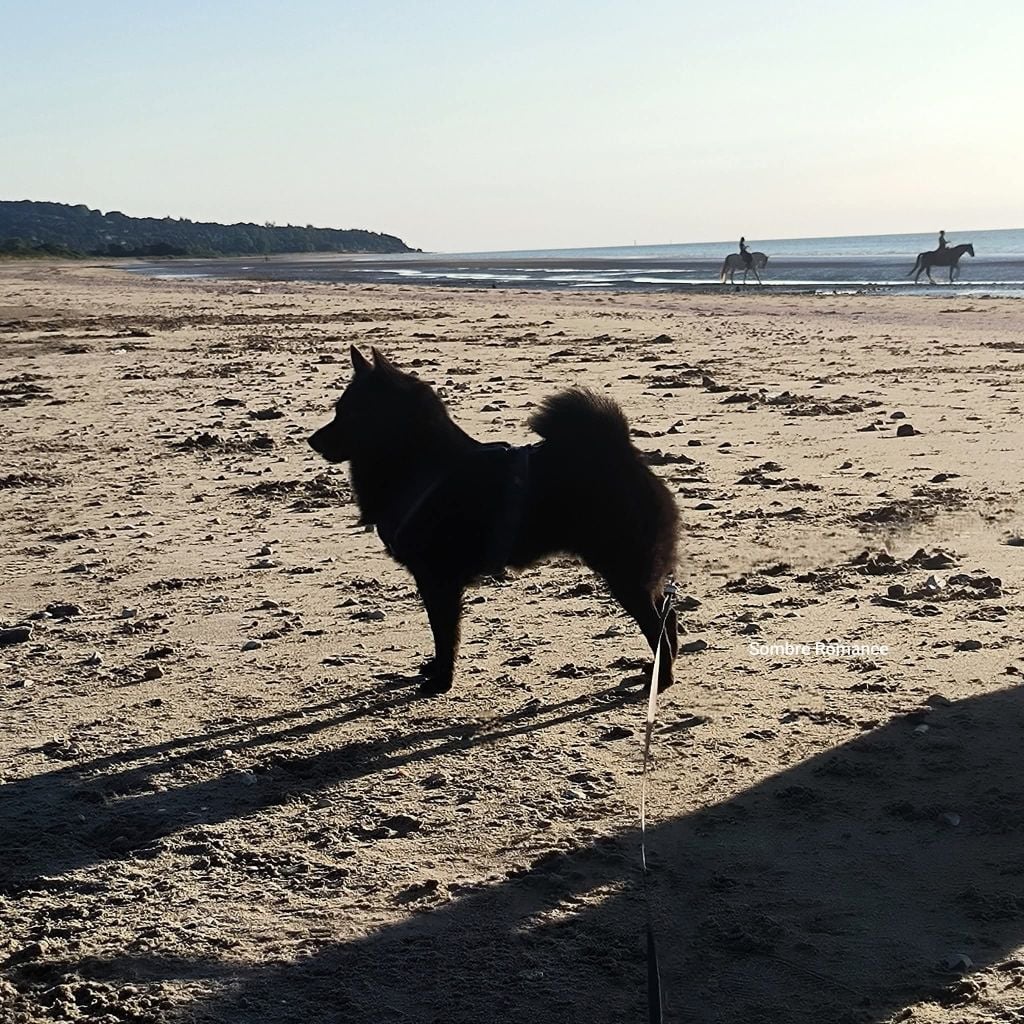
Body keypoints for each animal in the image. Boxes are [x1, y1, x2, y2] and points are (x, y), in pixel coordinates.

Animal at [309, 346, 679, 696]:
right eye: (339, 410)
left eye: (350, 413)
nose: (312, 440)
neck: (419, 464)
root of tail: (623, 454)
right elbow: (438, 632)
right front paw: (434, 670)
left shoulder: (438, 580)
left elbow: (444, 633)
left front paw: (441, 680)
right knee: (668, 614)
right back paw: (657, 670)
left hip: (624, 569)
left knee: (655, 622)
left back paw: (661, 680)